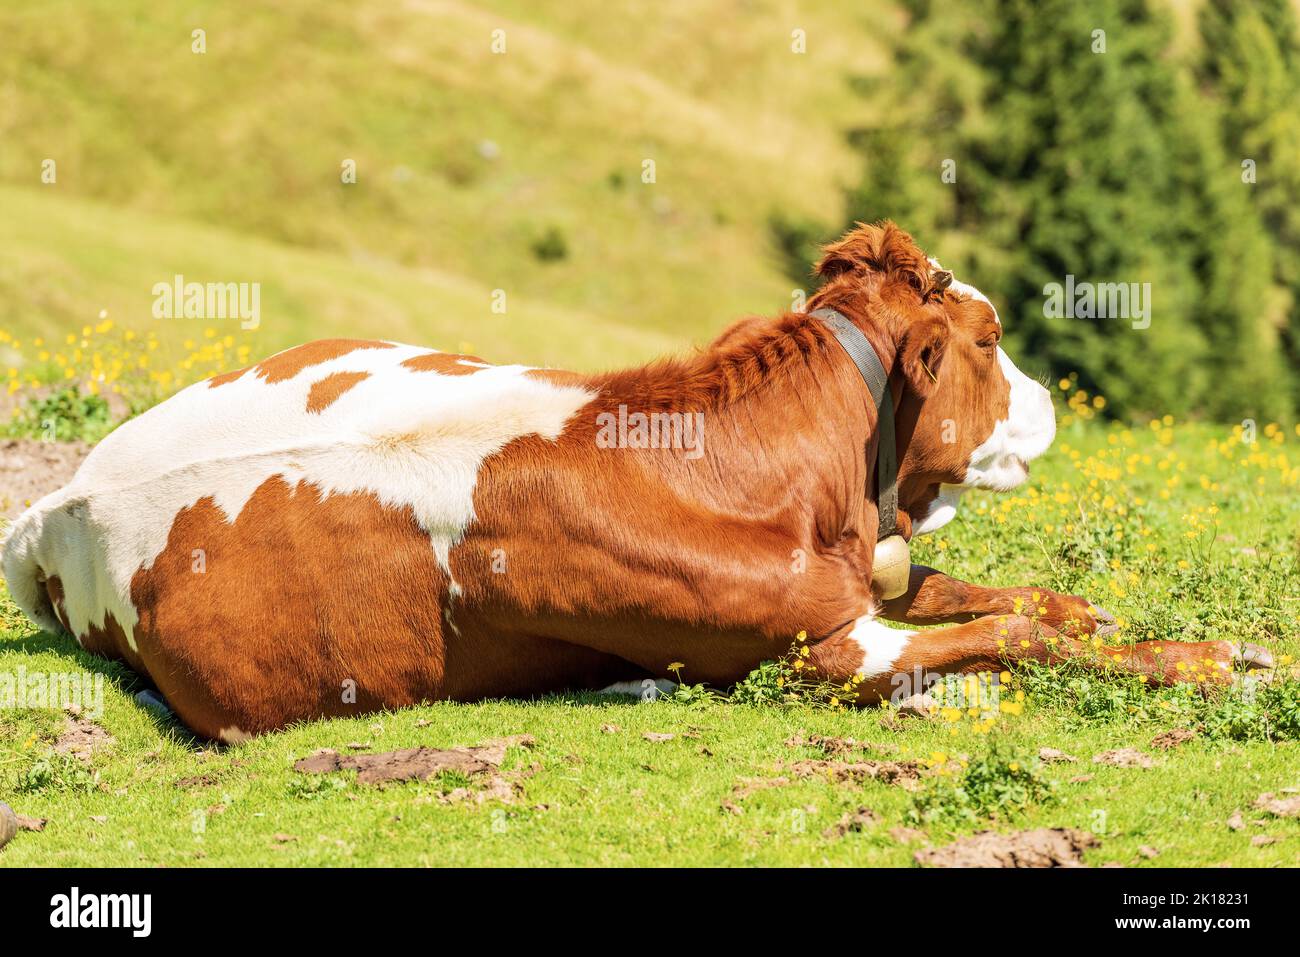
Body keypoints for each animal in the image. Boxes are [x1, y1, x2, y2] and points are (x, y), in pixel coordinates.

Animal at [2, 222, 1273, 740]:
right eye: (990, 334)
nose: (1056, 400)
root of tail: (59, 497)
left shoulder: (862, 571)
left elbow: (992, 594)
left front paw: (1114, 616)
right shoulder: (814, 655)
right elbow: (1011, 634)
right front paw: (1213, 662)